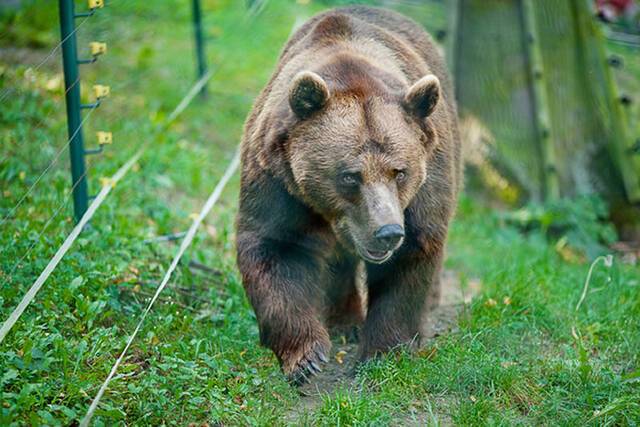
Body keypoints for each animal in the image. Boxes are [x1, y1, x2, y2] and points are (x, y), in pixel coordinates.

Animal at [235, 4, 460, 384]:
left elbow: (413, 253)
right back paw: (345, 321)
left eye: (400, 172)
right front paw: (306, 357)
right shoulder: (277, 178)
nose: (387, 232)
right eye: (349, 176)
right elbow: (275, 246)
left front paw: (383, 353)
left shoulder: (425, 183)